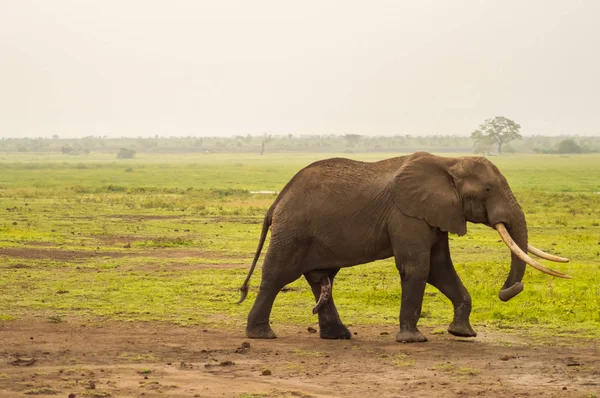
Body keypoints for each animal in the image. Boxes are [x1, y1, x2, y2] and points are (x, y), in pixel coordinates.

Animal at [236, 152, 568, 342]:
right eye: (488, 189)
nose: (508, 290)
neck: (449, 162)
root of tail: (277, 200)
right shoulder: (407, 214)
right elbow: (418, 268)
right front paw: (412, 340)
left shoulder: (435, 214)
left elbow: (439, 269)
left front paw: (462, 333)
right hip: (292, 231)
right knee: (277, 276)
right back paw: (262, 335)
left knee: (320, 279)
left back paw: (339, 336)